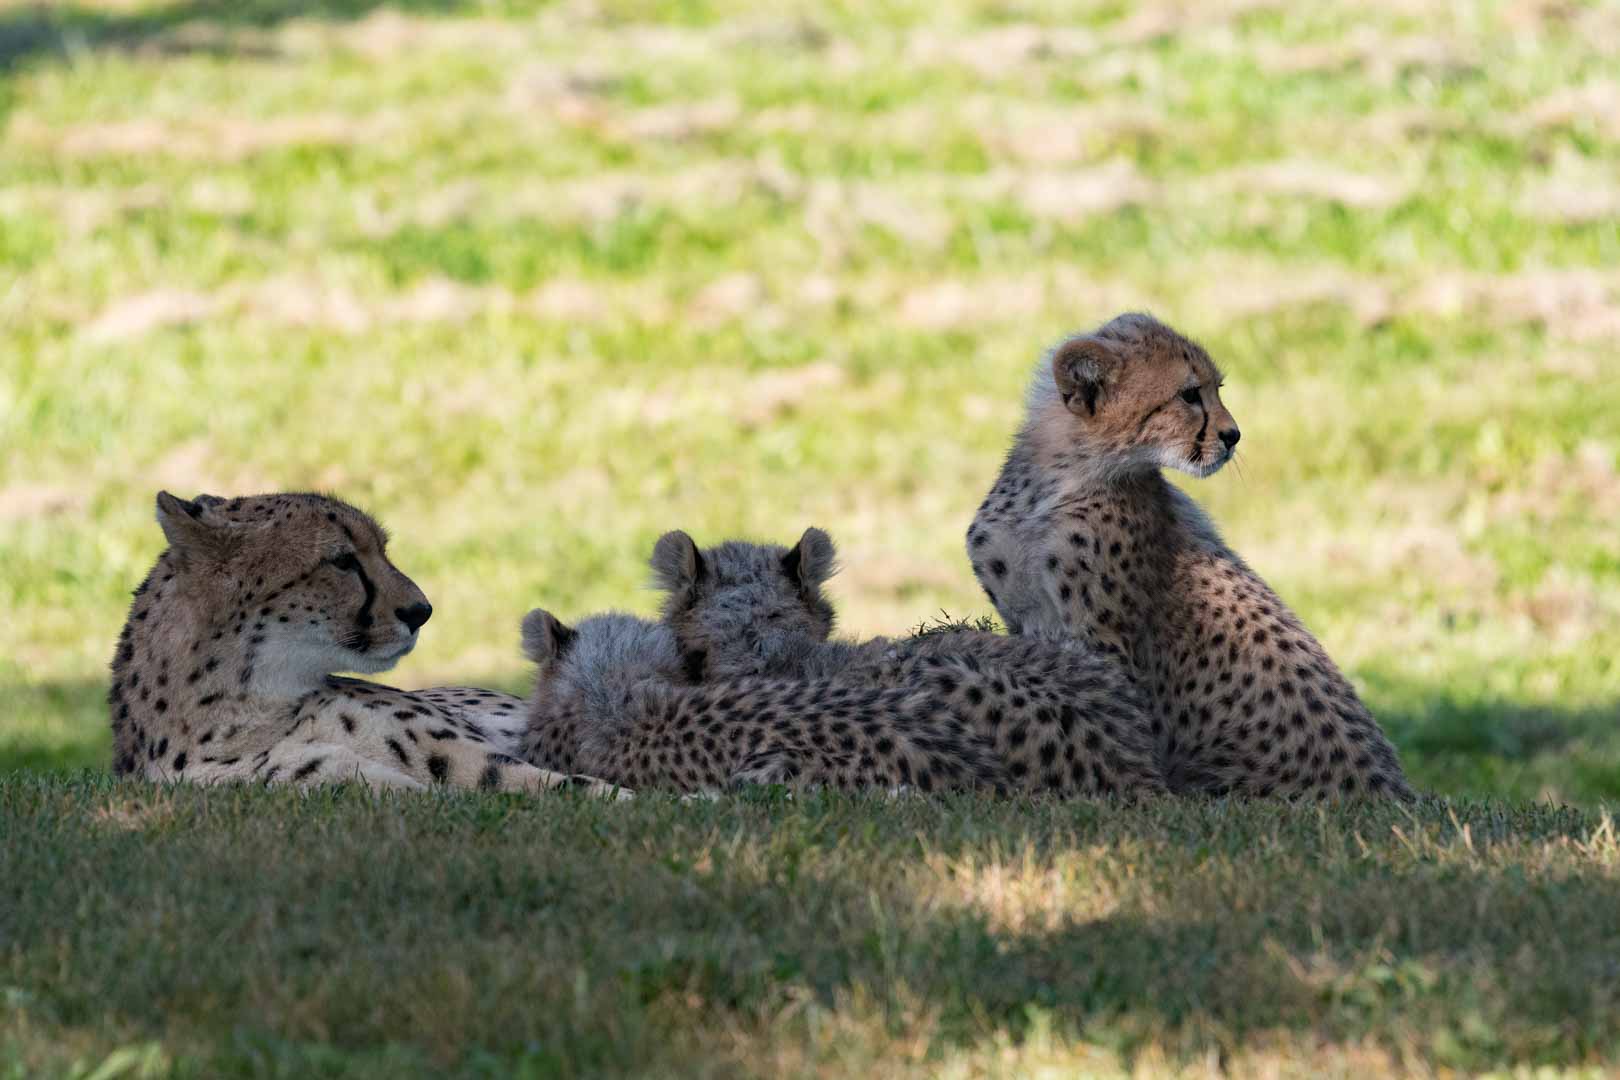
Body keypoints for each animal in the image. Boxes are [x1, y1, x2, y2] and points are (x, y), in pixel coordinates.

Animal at [965, 312, 1411, 799]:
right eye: (1190, 394)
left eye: (1217, 389)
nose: (1233, 436)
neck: (1060, 477)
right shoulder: (1029, 625)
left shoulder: (1104, 644)